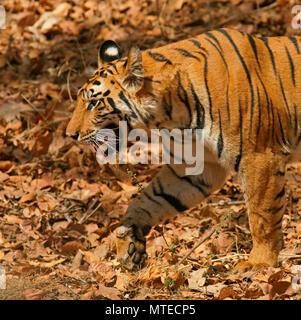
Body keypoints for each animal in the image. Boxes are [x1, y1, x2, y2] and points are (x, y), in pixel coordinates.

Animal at [66, 27, 301, 272]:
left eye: (93, 103)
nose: (70, 134)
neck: (170, 115)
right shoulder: (197, 167)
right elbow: (150, 199)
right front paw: (130, 241)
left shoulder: (260, 157)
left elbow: (261, 214)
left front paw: (259, 262)